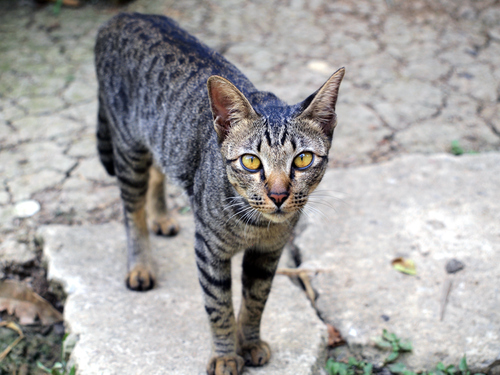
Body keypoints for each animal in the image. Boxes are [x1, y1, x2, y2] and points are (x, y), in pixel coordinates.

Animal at [94, 12, 344, 375]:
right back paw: (140, 265)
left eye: (303, 159)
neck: (255, 225)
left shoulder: (268, 254)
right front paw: (226, 355)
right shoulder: (209, 251)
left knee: (158, 170)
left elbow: (255, 302)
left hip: (161, 141)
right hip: (128, 150)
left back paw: (162, 217)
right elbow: (219, 307)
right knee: (131, 209)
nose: (278, 194)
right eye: (251, 161)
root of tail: (124, 16)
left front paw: (249, 342)